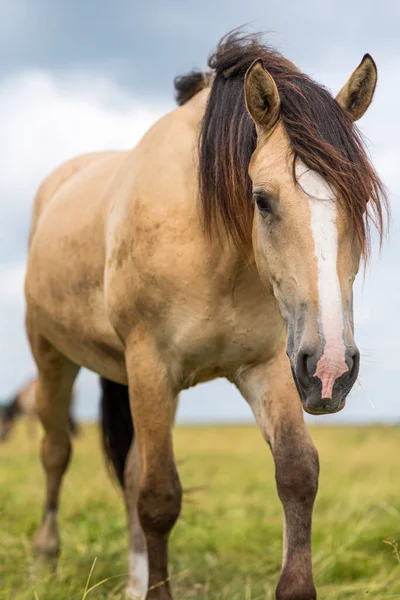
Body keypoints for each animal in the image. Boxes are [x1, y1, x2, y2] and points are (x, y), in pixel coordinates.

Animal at [25, 31, 388, 600]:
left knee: (128, 468)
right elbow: (159, 497)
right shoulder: (152, 367)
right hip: (52, 357)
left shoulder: (271, 367)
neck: (215, 246)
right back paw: (45, 559)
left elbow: (297, 473)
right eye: (262, 200)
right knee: (57, 452)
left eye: (363, 198)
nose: (332, 369)